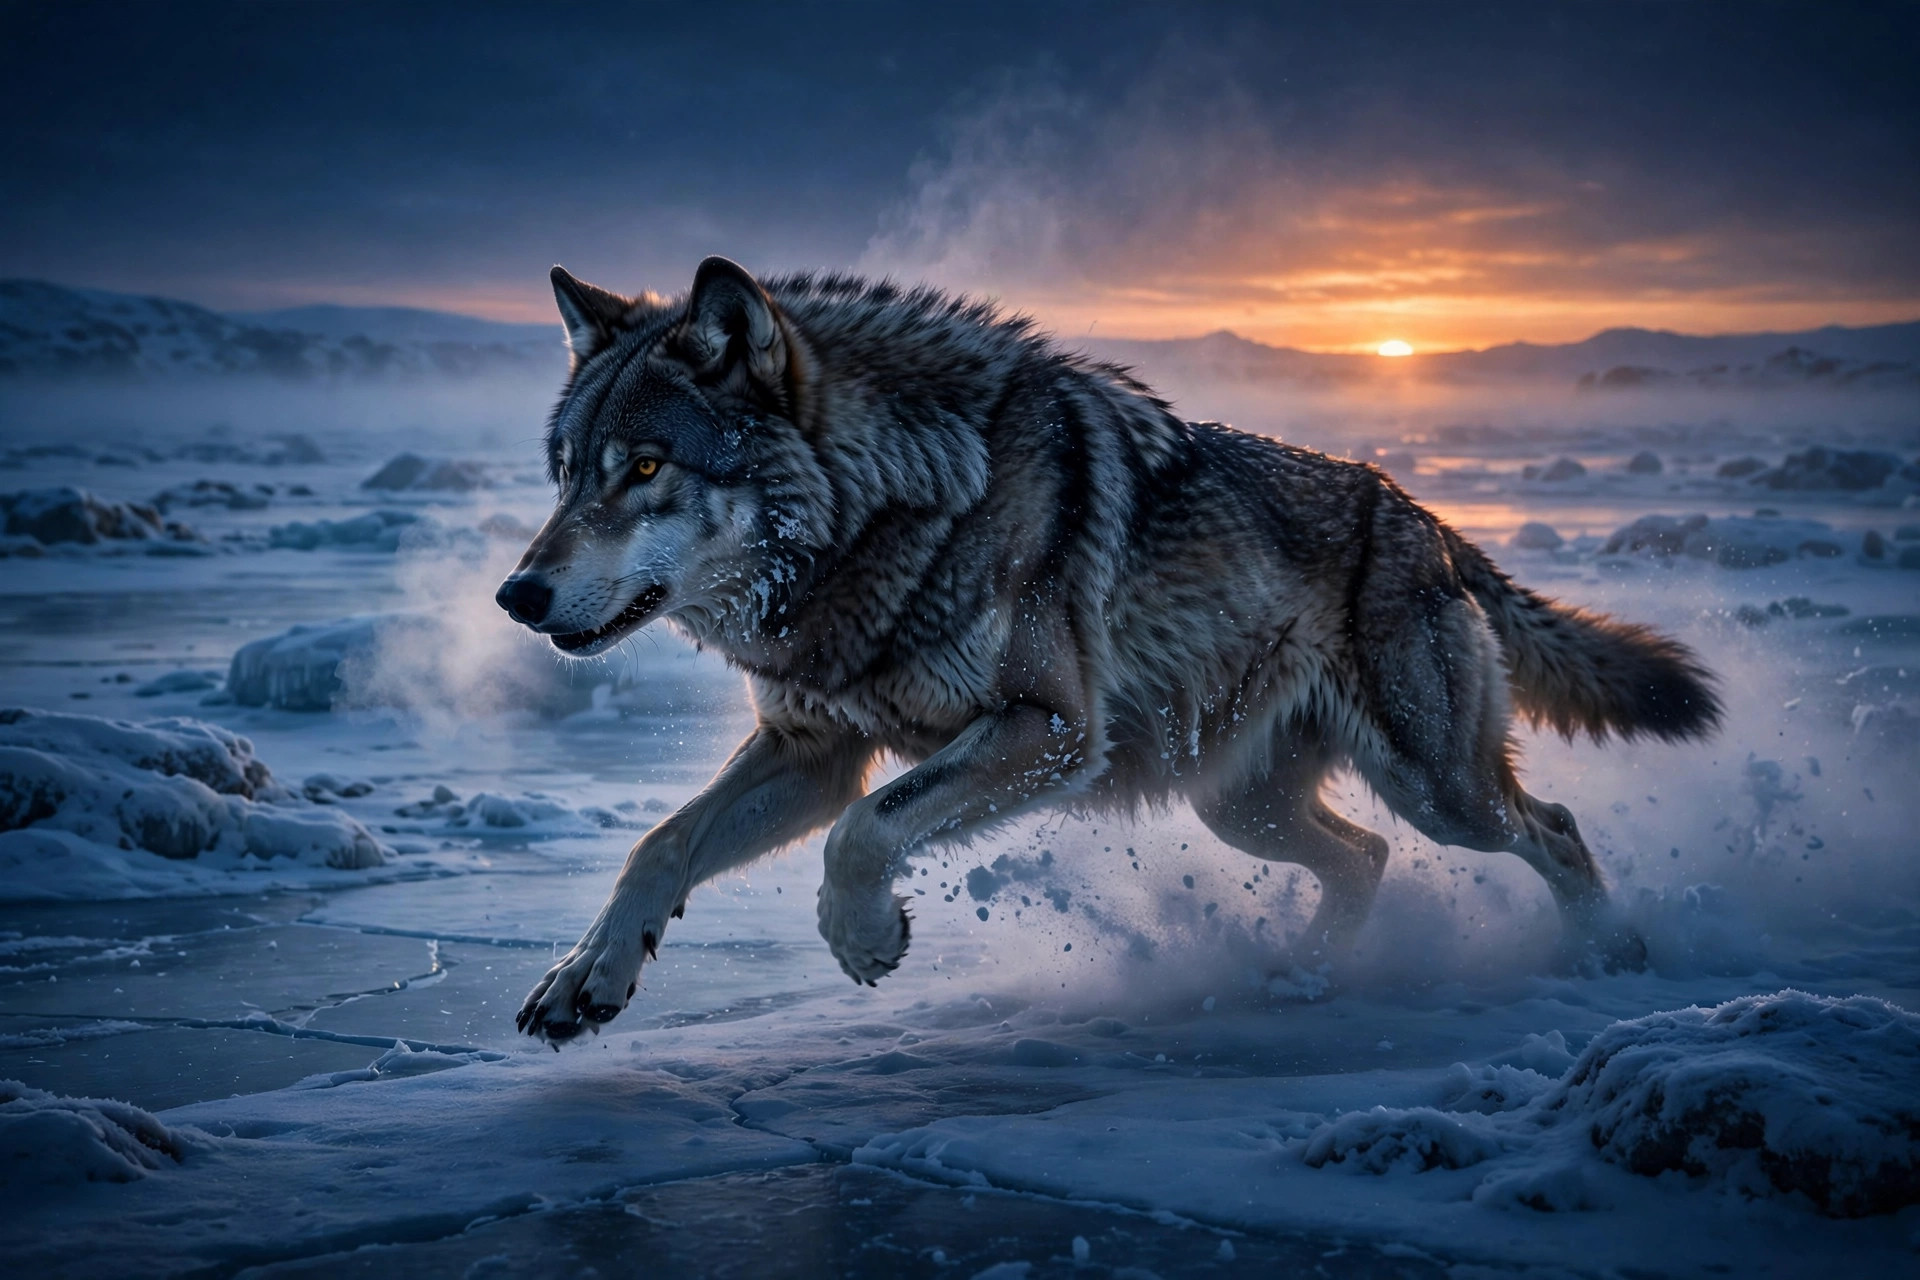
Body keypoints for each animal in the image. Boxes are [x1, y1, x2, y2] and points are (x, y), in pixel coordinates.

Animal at [497, 256, 1719, 1044]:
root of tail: (1426, 518)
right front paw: (584, 979)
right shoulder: (813, 748)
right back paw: (1306, 976)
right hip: (1238, 807)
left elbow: (864, 832)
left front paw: (864, 937)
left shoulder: (1047, 732)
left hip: (1436, 791)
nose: (517, 593)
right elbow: (658, 844)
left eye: (645, 467)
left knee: (1551, 828)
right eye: (564, 471)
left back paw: (1607, 957)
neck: (889, 515)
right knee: (1365, 858)